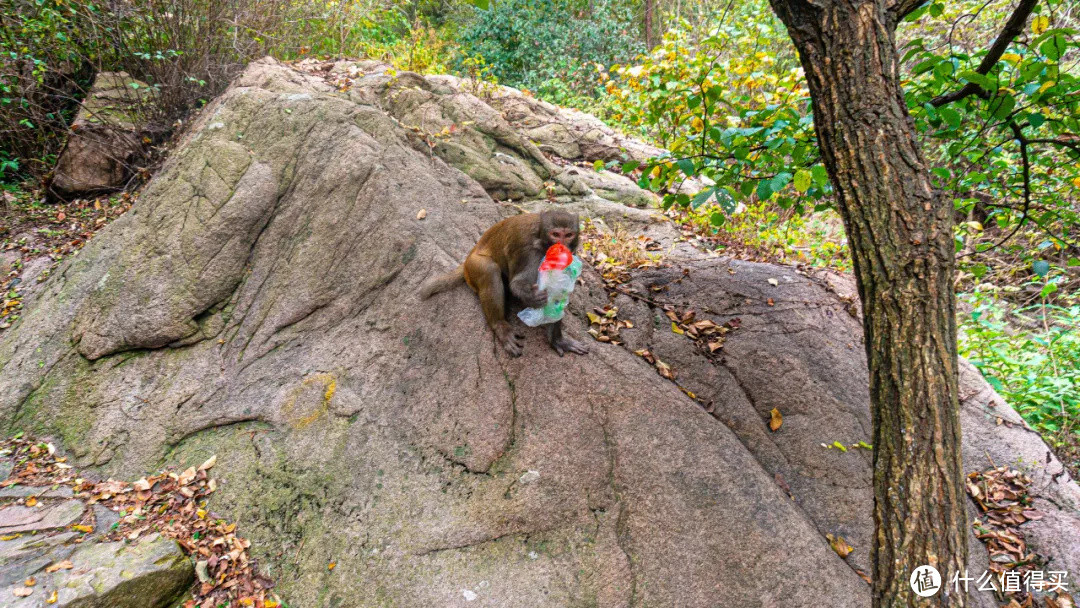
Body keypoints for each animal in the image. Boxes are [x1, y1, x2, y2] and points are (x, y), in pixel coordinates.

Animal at [419, 211, 591, 358]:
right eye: (555, 234)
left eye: (568, 235)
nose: (562, 247)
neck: (540, 237)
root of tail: (469, 257)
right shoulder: (528, 250)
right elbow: (517, 283)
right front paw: (533, 297)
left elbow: (559, 293)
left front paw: (557, 340)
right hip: (474, 266)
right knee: (490, 269)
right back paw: (499, 325)